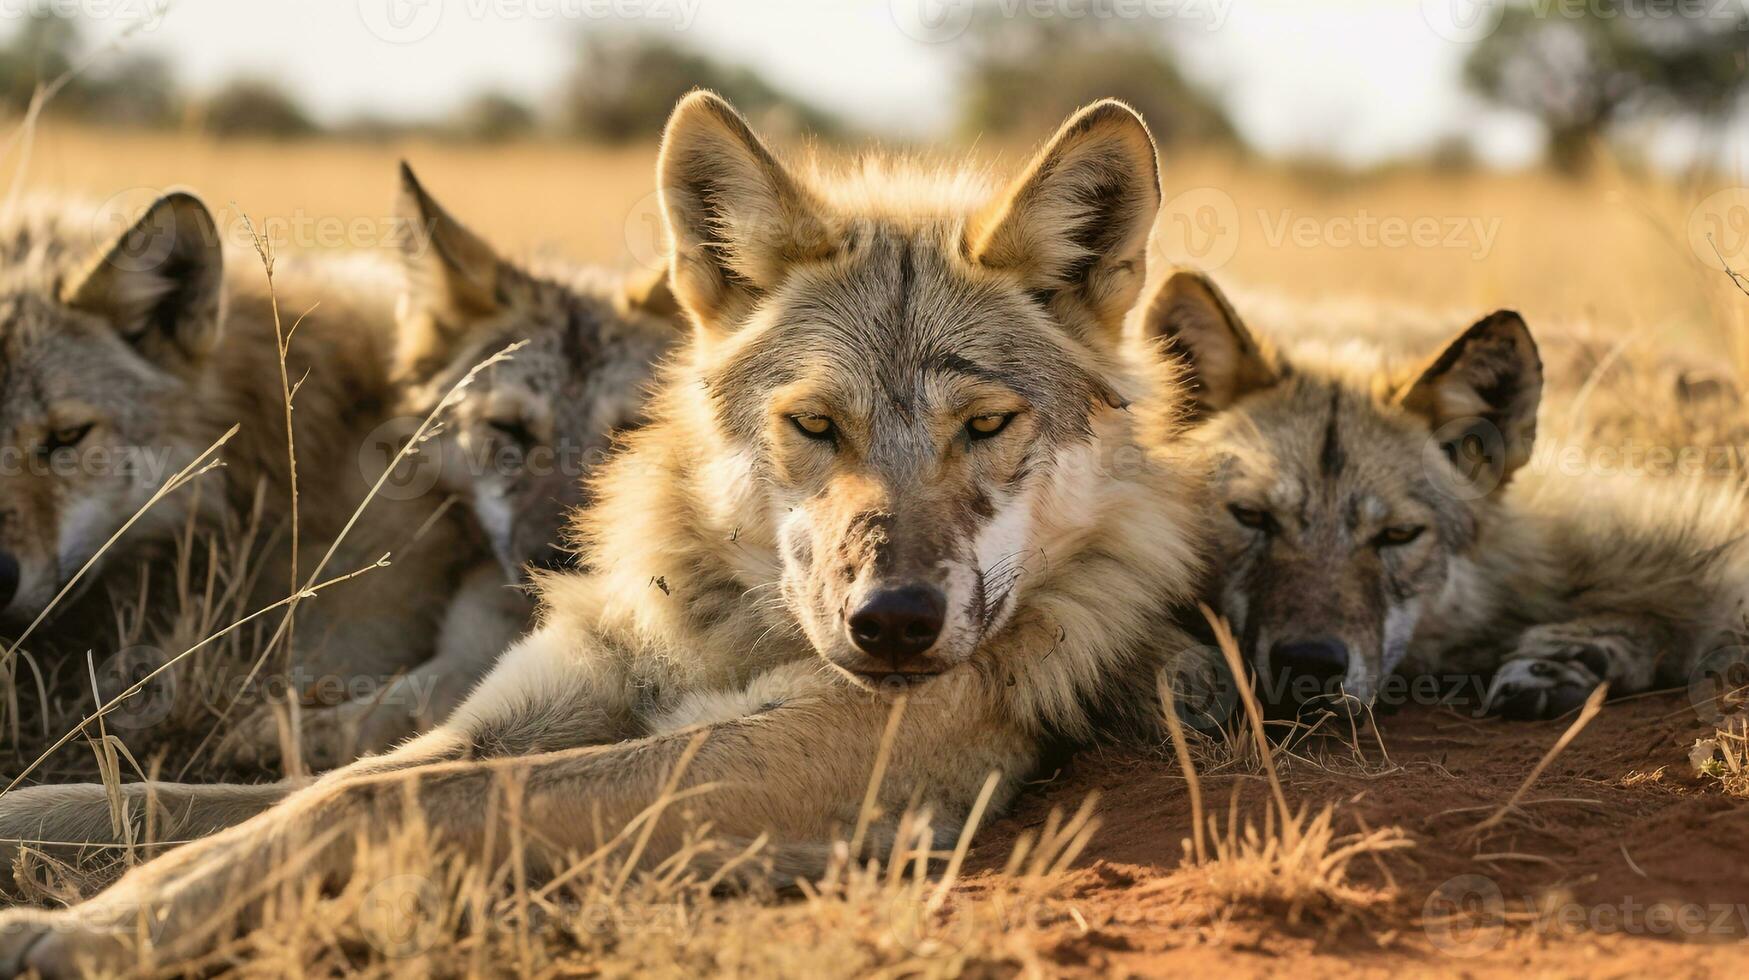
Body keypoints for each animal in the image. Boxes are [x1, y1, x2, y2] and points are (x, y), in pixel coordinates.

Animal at [0, 93, 1210, 980]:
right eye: (817, 424)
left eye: (987, 425)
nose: (896, 624)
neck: (717, 627)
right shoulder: (497, 723)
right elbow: (166, 799)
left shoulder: (780, 769)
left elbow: (354, 800)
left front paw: (87, 930)